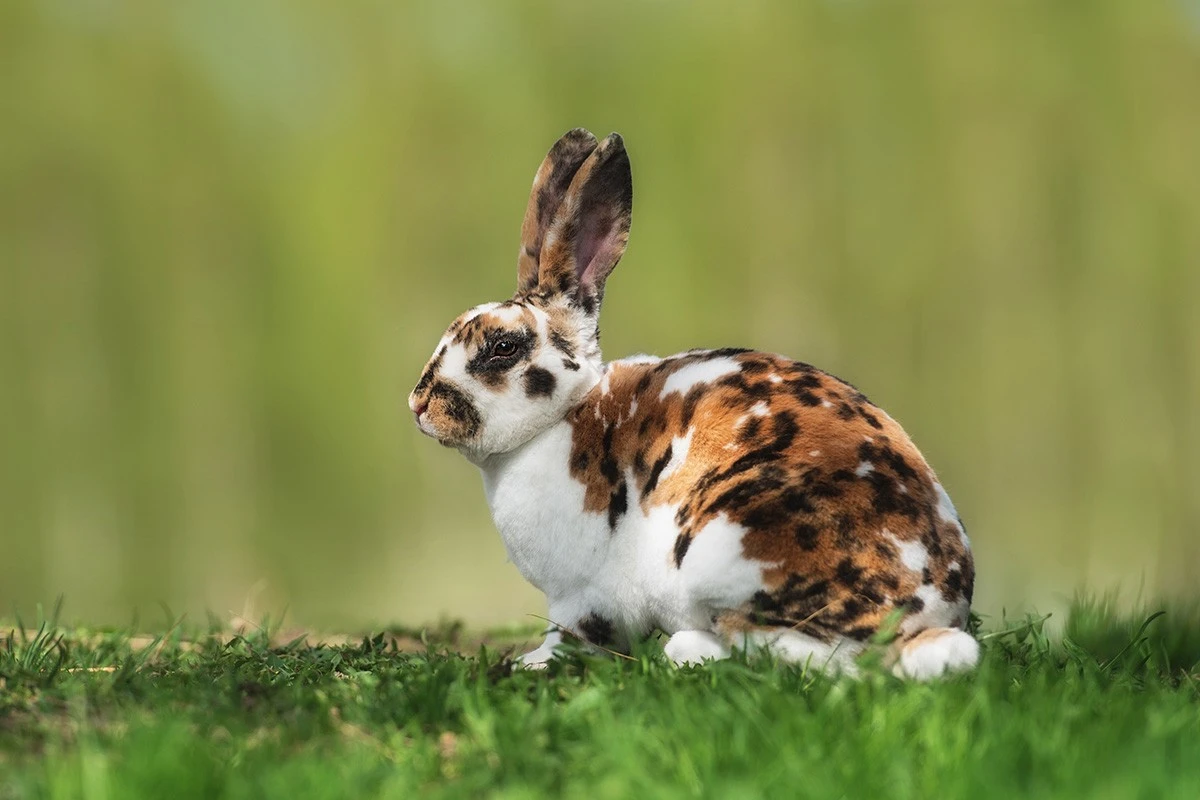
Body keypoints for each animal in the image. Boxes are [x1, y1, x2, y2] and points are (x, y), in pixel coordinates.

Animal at [408, 128, 979, 680]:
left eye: (503, 347)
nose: (417, 404)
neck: (564, 419)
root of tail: (925, 612)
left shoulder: (581, 598)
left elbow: (572, 637)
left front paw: (531, 662)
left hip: (728, 554)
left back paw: (686, 649)